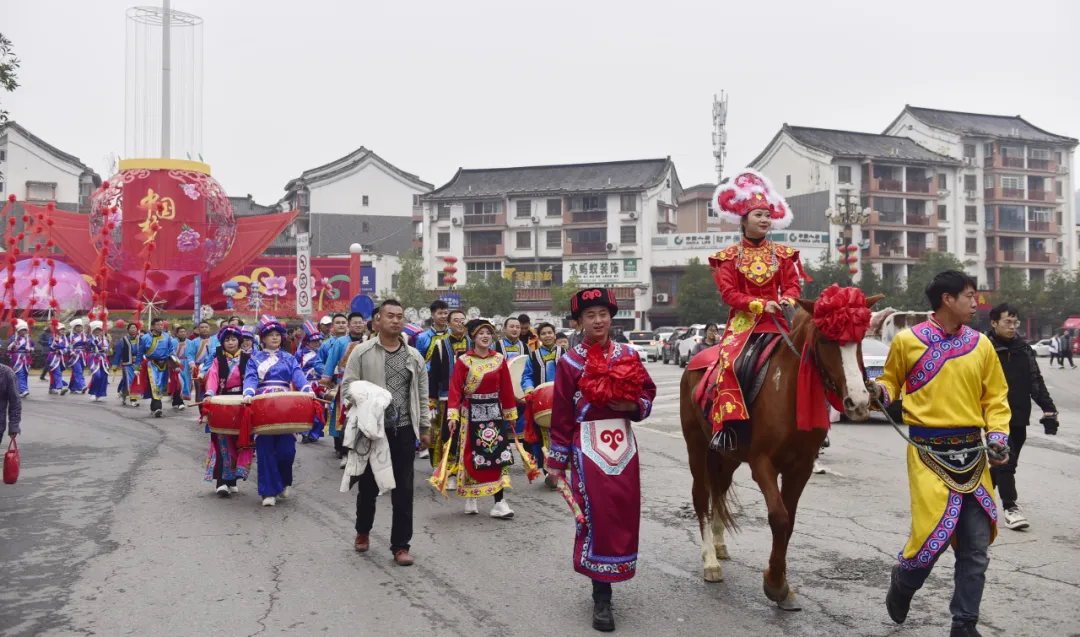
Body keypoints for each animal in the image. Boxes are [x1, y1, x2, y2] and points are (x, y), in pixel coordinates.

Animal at [682, 293, 885, 613]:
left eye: (861, 338)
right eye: (826, 339)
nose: (860, 401)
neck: (789, 389)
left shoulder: (800, 467)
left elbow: (789, 522)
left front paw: (781, 583)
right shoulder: (762, 462)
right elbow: (779, 517)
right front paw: (775, 584)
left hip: (727, 455)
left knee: (720, 489)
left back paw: (719, 544)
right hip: (696, 445)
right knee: (702, 495)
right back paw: (710, 561)